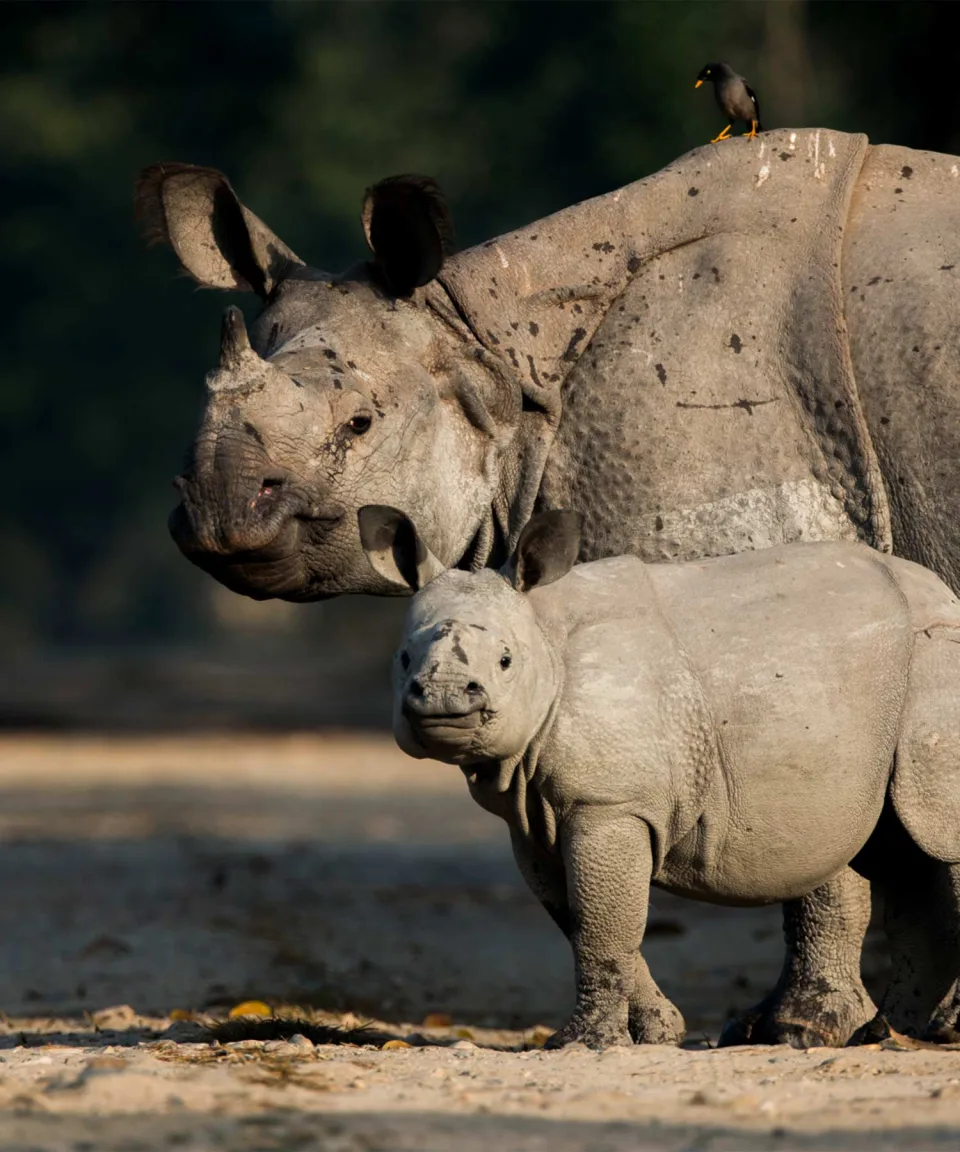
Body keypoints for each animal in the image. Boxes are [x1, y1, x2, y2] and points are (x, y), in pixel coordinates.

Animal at [360, 504, 960, 1050]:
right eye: (403, 658)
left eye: (506, 661)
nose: (442, 698)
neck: (544, 633)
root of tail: (944, 593)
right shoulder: (531, 816)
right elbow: (581, 921)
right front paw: (655, 1032)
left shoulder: (608, 802)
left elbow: (603, 924)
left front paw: (585, 1044)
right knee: (901, 852)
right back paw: (888, 1033)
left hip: (935, 656)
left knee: (933, 842)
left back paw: (926, 1034)